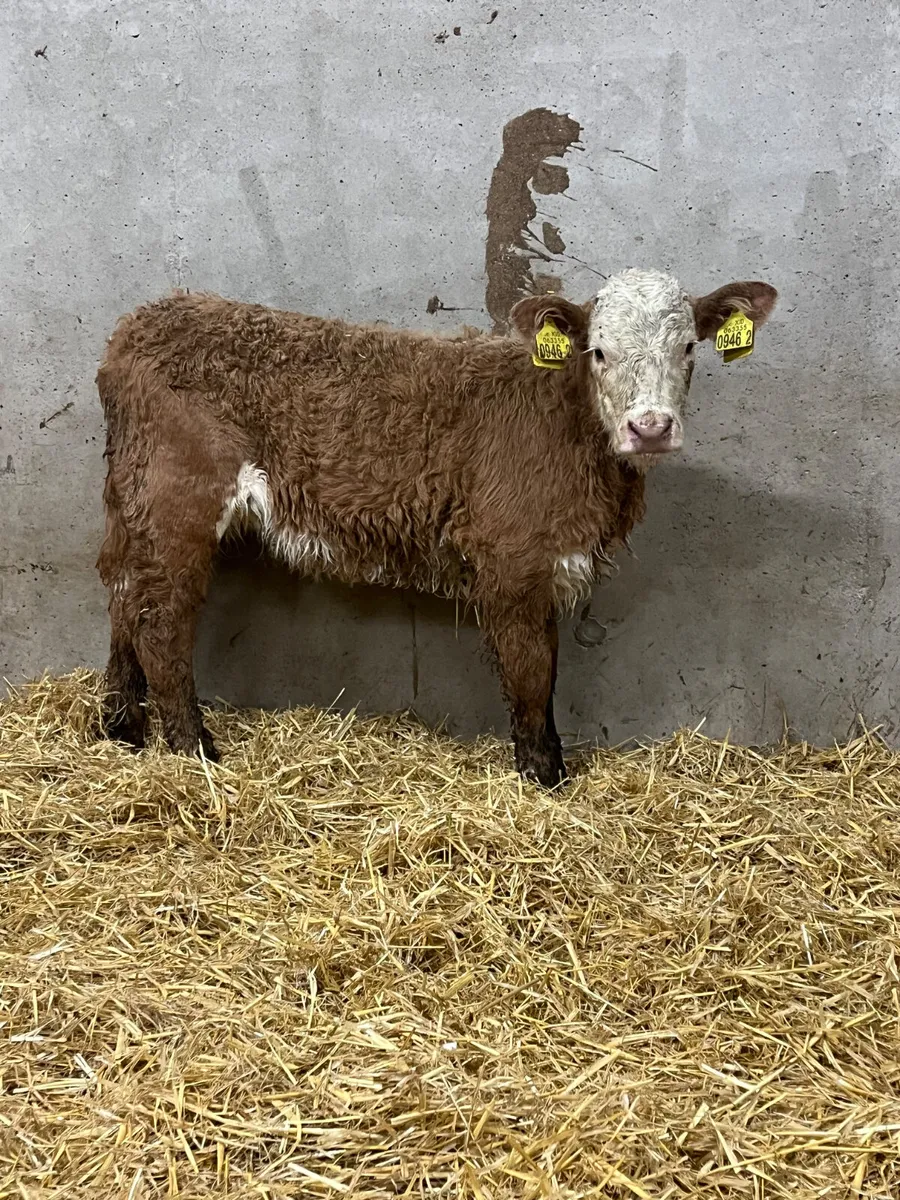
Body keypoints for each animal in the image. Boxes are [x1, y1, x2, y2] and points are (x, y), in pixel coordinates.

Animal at [96, 269, 777, 786]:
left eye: (688, 349)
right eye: (599, 351)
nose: (651, 427)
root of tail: (137, 325)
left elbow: (550, 664)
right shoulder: (512, 557)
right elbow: (532, 670)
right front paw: (543, 777)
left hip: (138, 507)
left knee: (126, 597)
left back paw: (123, 728)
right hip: (177, 501)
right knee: (160, 620)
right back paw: (194, 750)